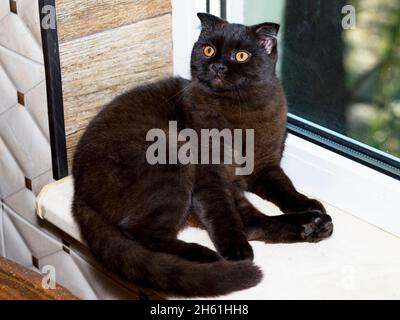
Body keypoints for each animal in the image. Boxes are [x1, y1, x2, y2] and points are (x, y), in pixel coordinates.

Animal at [72, 12, 334, 298]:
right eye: (208, 50)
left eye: (241, 55)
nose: (218, 66)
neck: (240, 109)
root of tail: (79, 193)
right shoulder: (209, 175)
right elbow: (221, 215)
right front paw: (236, 250)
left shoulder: (264, 168)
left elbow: (285, 189)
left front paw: (308, 203)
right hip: (169, 166)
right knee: (144, 233)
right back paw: (205, 255)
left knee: (252, 221)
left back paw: (313, 224)